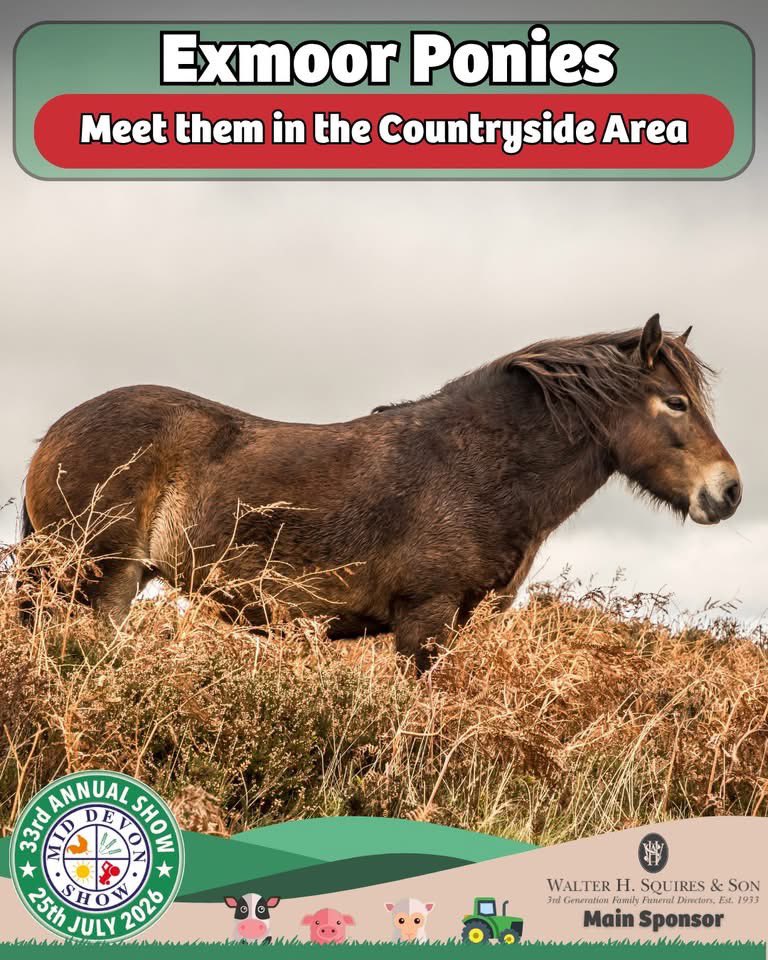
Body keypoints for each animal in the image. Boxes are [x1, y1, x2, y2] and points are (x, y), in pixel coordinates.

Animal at [21, 315, 741, 672]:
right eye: (675, 402)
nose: (729, 491)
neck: (476, 464)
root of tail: (56, 431)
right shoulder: (424, 619)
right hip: (97, 578)